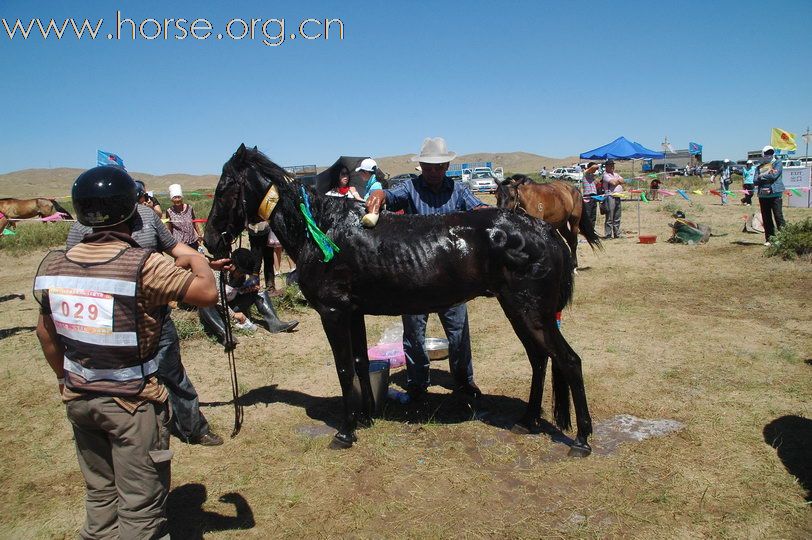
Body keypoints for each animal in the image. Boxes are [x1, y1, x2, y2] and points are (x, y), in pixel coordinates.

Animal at [205, 147, 596, 456]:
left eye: (225, 188)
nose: (209, 241)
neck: (322, 229)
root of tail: (544, 230)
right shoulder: (353, 312)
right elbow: (360, 363)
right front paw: (365, 417)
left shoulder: (333, 313)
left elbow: (343, 369)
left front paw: (345, 433)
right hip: (520, 309)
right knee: (540, 359)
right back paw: (528, 420)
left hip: (530, 310)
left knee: (569, 361)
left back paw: (581, 440)